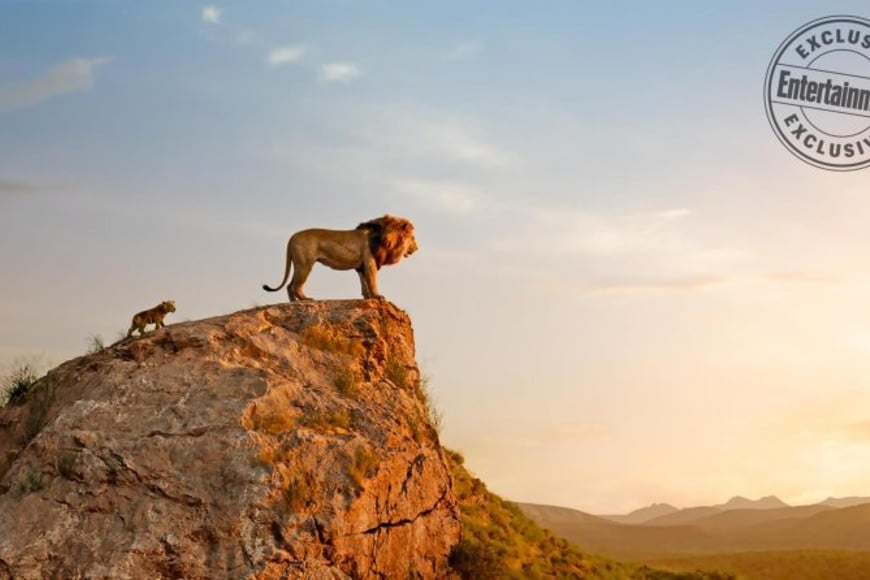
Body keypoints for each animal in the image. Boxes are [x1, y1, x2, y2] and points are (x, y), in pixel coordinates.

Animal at [262, 215, 418, 302]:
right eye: (413, 238)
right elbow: (372, 281)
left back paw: (294, 303)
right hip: (305, 264)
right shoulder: (370, 262)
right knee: (296, 286)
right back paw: (306, 299)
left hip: (298, 264)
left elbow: (364, 282)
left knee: (289, 286)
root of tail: (291, 238)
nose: (417, 248)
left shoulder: (361, 266)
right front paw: (377, 296)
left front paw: (368, 297)